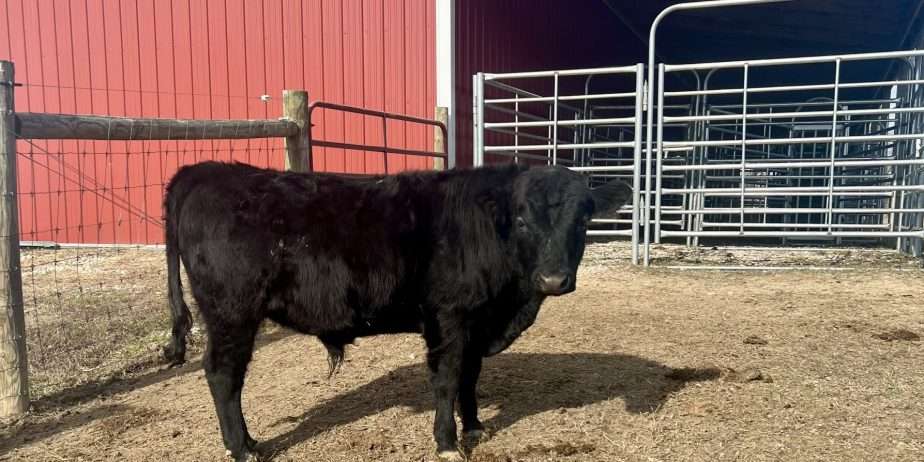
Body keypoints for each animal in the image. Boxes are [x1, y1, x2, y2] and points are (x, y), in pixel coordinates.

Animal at [162, 161, 631, 461]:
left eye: (584, 220)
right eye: (521, 220)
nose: (553, 280)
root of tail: (205, 170)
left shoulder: (476, 323)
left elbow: (470, 377)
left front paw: (474, 426)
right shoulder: (449, 316)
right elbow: (447, 379)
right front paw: (447, 443)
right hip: (232, 313)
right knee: (223, 375)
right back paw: (243, 448)